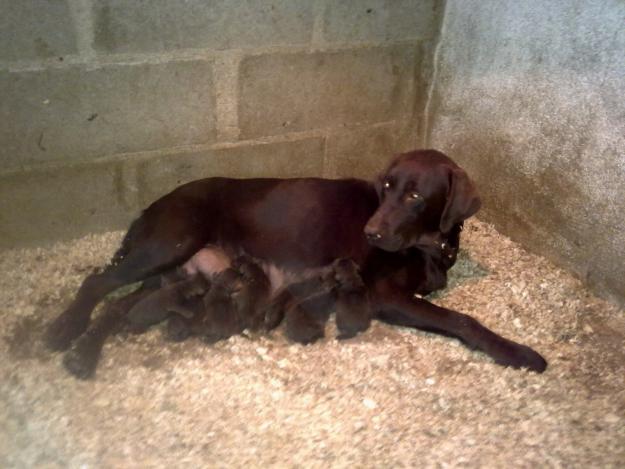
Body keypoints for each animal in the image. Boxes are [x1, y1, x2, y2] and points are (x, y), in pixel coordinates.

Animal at [45, 150, 544, 376]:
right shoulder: (383, 294)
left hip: (171, 271)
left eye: (415, 196)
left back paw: (85, 354)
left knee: (119, 306)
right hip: (171, 242)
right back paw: (65, 328)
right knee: (96, 283)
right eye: (386, 187)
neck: (426, 243)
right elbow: (463, 320)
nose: (371, 233)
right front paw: (516, 352)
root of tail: (149, 206)